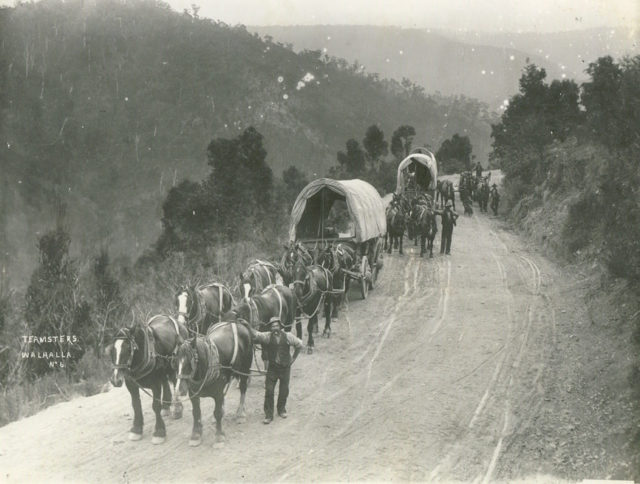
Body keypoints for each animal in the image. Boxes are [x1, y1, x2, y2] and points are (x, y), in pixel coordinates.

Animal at [107, 316, 186, 444]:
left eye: (128, 349)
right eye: (112, 349)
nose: (115, 380)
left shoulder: (155, 385)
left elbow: (155, 406)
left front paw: (159, 432)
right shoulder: (131, 385)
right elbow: (136, 405)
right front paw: (136, 429)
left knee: (175, 382)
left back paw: (177, 408)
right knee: (165, 381)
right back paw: (166, 406)